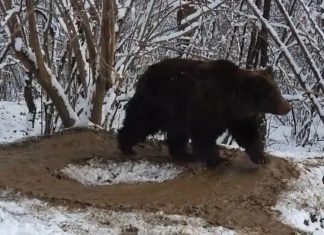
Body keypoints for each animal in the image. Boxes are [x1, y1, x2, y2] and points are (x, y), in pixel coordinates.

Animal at [117, 57, 292, 166]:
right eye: (272, 95)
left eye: (278, 90)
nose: (288, 107)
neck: (234, 103)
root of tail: (144, 73)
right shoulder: (208, 107)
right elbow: (204, 135)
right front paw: (219, 160)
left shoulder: (238, 117)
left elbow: (248, 134)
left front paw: (262, 158)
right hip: (157, 102)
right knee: (140, 122)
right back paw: (127, 146)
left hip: (176, 112)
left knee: (177, 134)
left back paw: (183, 154)